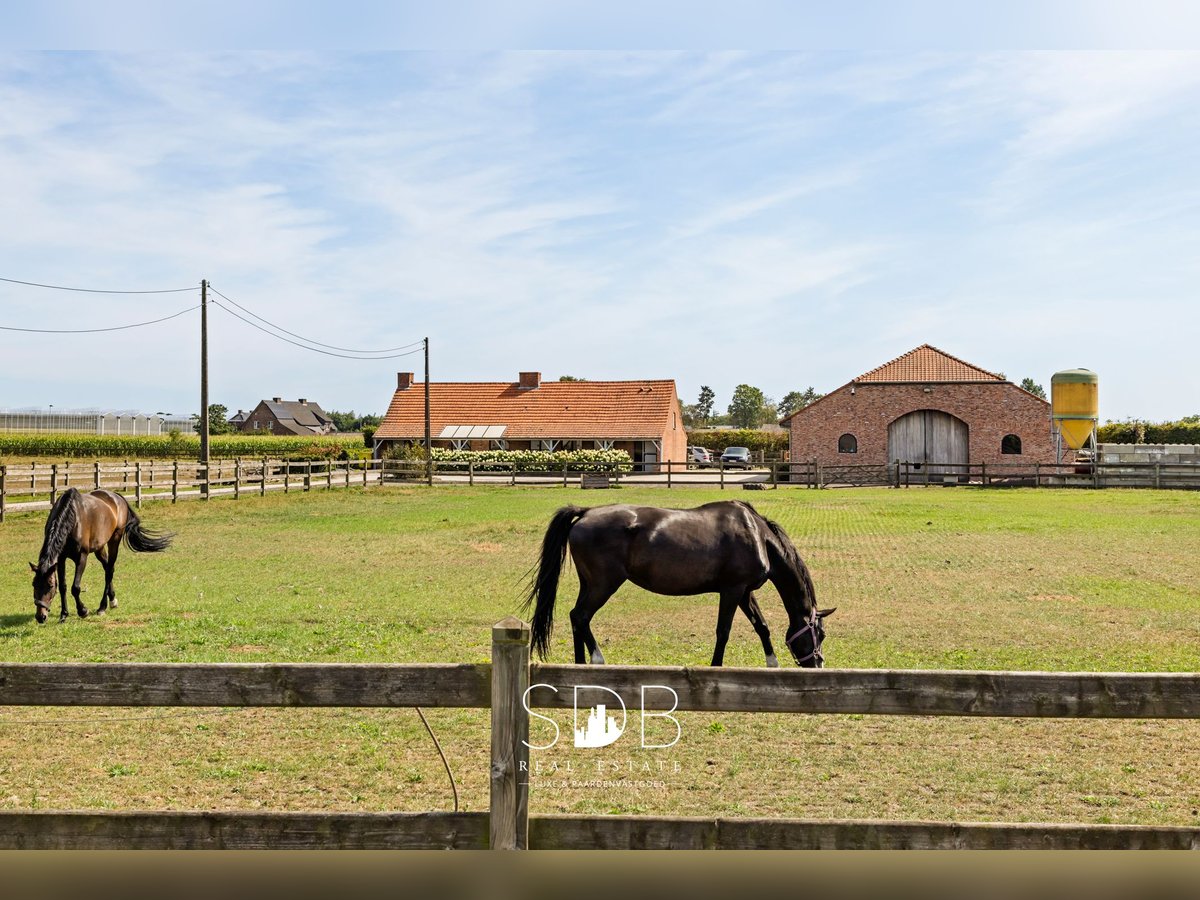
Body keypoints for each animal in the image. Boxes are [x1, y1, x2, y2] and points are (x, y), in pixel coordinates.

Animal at [30, 488, 173, 624]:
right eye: (34, 584)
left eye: (49, 586)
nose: (40, 617)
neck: (72, 519)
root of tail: (117, 497)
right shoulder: (61, 558)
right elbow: (63, 587)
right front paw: (64, 615)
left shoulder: (82, 557)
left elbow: (75, 588)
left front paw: (83, 611)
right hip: (99, 548)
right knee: (108, 568)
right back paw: (112, 599)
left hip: (114, 540)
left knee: (109, 571)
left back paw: (102, 607)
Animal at [523, 500, 834, 667]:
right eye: (820, 633)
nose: (817, 664)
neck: (756, 534)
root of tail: (586, 513)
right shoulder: (732, 591)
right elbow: (723, 631)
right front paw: (716, 666)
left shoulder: (745, 593)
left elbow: (763, 627)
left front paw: (773, 664)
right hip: (603, 585)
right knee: (581, 616)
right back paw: (597, 659)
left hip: (588, 584)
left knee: (576, 617)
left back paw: (580, 664)